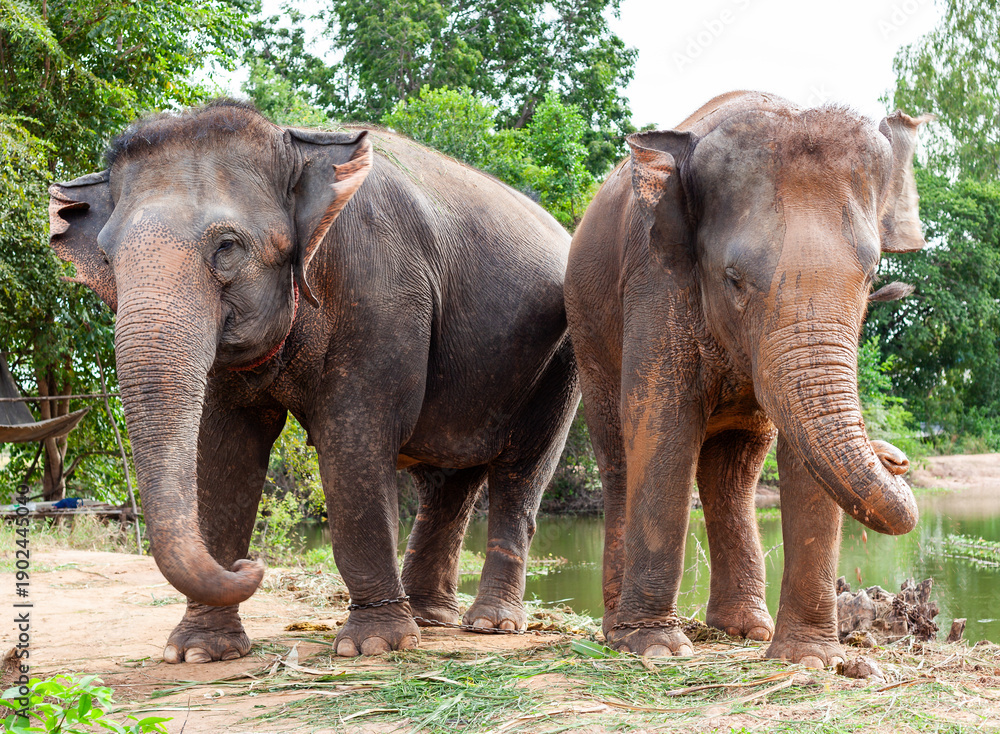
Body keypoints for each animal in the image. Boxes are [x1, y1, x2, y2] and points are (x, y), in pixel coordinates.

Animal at [48, 99, 579, 661]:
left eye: (227, 246)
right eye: (108, 258)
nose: (252, 565)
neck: (293, 142)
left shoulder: (382, 293)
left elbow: (354, 439)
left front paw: (372, 646)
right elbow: (224, 451)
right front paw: (200, 651)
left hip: (559, 362)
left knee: (521, 472)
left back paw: (490, 624)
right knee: (447, 483)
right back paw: (430, 619)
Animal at [564, 90, 931, 666]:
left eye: (872, 274)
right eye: (733, 278)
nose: (896, 458)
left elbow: (802, 457)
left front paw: (810, 660)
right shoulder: (655, 278)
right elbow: (662, 423)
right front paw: (656, 648)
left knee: (734, 472)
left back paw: (744, 630)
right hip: (588, 333)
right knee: (619, 456)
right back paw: (616, 632)